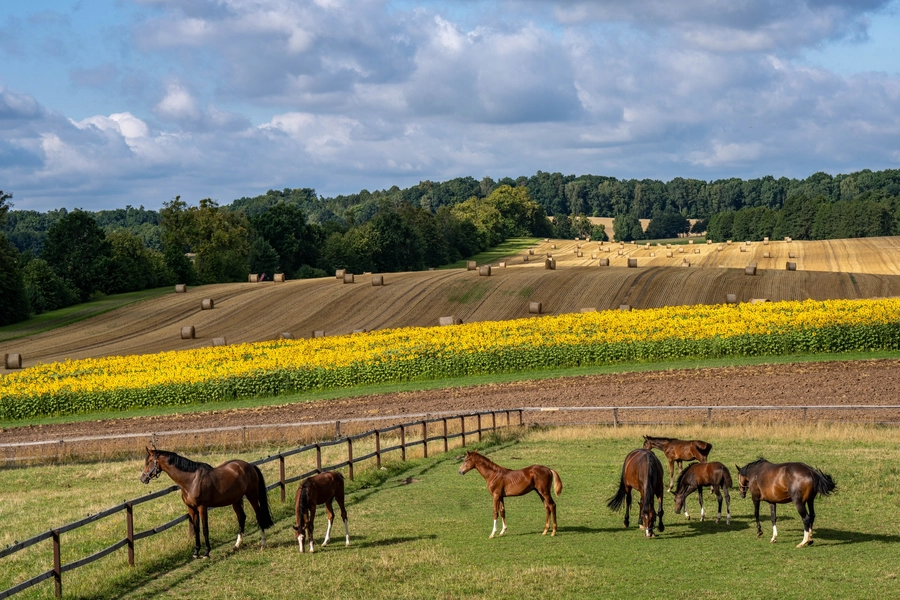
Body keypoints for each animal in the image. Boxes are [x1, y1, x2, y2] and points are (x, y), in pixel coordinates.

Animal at [140, 446, 274, 556]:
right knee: (241, 517)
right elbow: (196, 529)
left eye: (149, 461)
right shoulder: (191, 509)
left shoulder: (202, 508)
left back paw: (263, 544)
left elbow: (205, 529)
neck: (191, 480)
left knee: (258, 515)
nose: (142, 478)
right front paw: (196, 552)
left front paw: (206, 552)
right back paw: (237, 545)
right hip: (236, 500)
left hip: (252, 496)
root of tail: (250, 466)